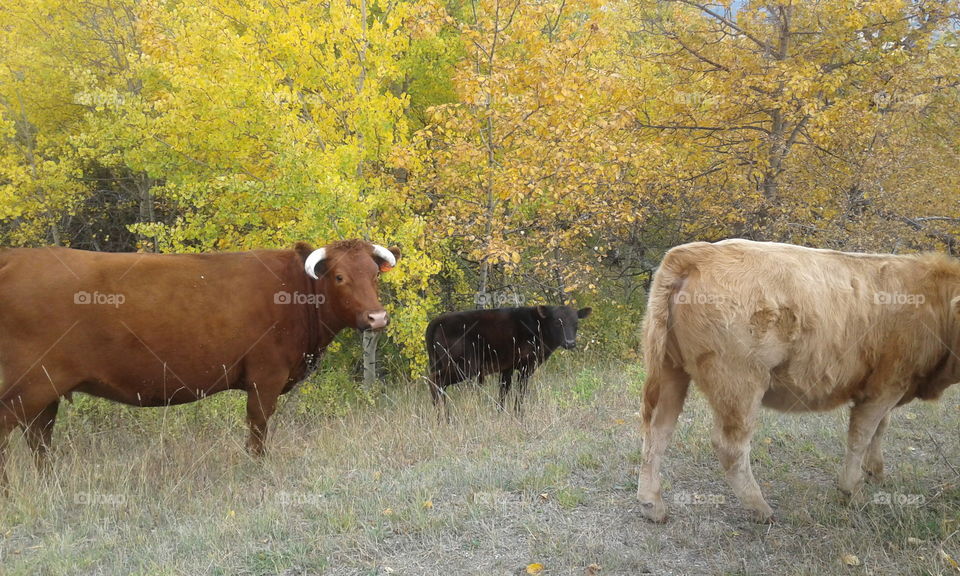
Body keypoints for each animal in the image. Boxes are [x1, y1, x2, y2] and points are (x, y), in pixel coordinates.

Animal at [0, 239, 400, 485]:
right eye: (339, 276)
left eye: (374, 275)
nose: (377, 318)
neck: (293, 292)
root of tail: (15, 257)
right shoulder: (266, 375)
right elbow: (258, 425)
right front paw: (257, 465)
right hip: (26, 387)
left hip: (44, 391)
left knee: (39, 438)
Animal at [426, 305, 592, 418]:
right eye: (557, 323)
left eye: (576, 324)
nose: (570, 343)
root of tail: (435, 322)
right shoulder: (526, 365)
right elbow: (521, 391)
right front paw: (518, 413)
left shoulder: (507, 366)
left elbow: (503, 390)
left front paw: (500, 412)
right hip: (464, 365)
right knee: (435, 380)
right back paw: (444, 418)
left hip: (440, 362)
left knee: (439, 385)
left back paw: (442, 416)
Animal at [637, 238, 960, 522]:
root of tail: (697, 252)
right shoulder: (886, 386)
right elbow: (862, 435)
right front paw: (852, 491)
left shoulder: (887, 387)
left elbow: (880, 429)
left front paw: (876, 473)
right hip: (739, 382)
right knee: (730, 445)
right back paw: (761, 509)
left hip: (671, 371)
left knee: (658, 431)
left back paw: (653, 506)